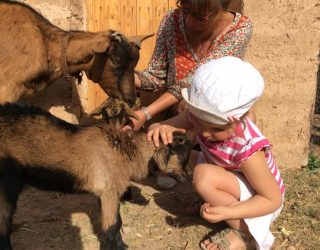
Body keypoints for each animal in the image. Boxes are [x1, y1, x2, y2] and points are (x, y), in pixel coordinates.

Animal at [0, 98, 192, 249]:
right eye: (181, 155)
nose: (188, 177)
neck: (124, 147)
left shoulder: (104, 192)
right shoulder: (109, 191)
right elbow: (113, 226)